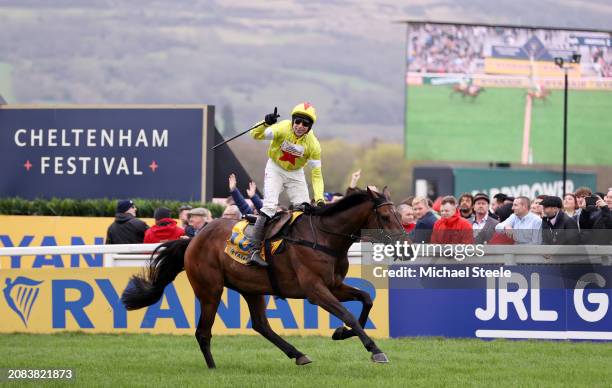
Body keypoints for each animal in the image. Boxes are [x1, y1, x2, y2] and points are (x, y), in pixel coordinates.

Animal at [120, 188, 406, 370]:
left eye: (399, 215)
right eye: (385, 216)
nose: (406, 246)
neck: (324, 237)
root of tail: (193, 239)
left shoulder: (334, 285)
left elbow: (366, 299)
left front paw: (342, 333)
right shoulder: (315, 290)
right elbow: (347, 314)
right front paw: (375, 350)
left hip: (252, 288)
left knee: (260, 325)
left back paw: (298, 354)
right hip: (210, 290)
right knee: (203, 331)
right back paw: (212, 368)